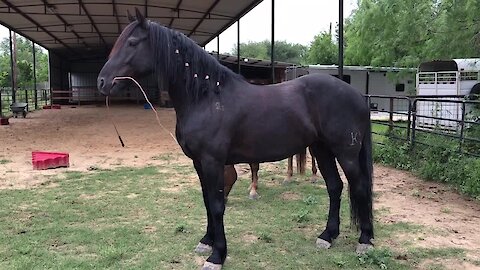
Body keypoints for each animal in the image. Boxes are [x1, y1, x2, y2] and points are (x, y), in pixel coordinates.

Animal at [97, 8, 376, 270]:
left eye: (132, 42)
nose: (102, 82)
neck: (207, 97)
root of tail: (358, 97)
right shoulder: (199, 163)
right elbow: (206, 201)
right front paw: (206, 241)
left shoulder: (212, 162)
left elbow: (217, 204)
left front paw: (217, 256)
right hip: (321, 149)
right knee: (335, 186)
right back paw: (327, 236)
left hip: (346, 154)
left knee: (360, 187)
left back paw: (365, 241)